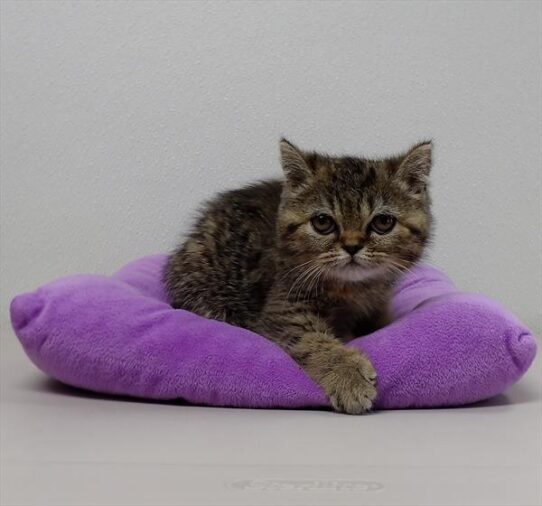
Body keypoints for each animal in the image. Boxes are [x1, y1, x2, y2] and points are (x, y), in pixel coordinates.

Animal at [165, 137, 434, 412]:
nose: (352, 246)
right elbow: (311, 339)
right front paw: (348, 376)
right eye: (322, 222)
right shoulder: (282, 308)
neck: (351, 289)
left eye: (383, 223)